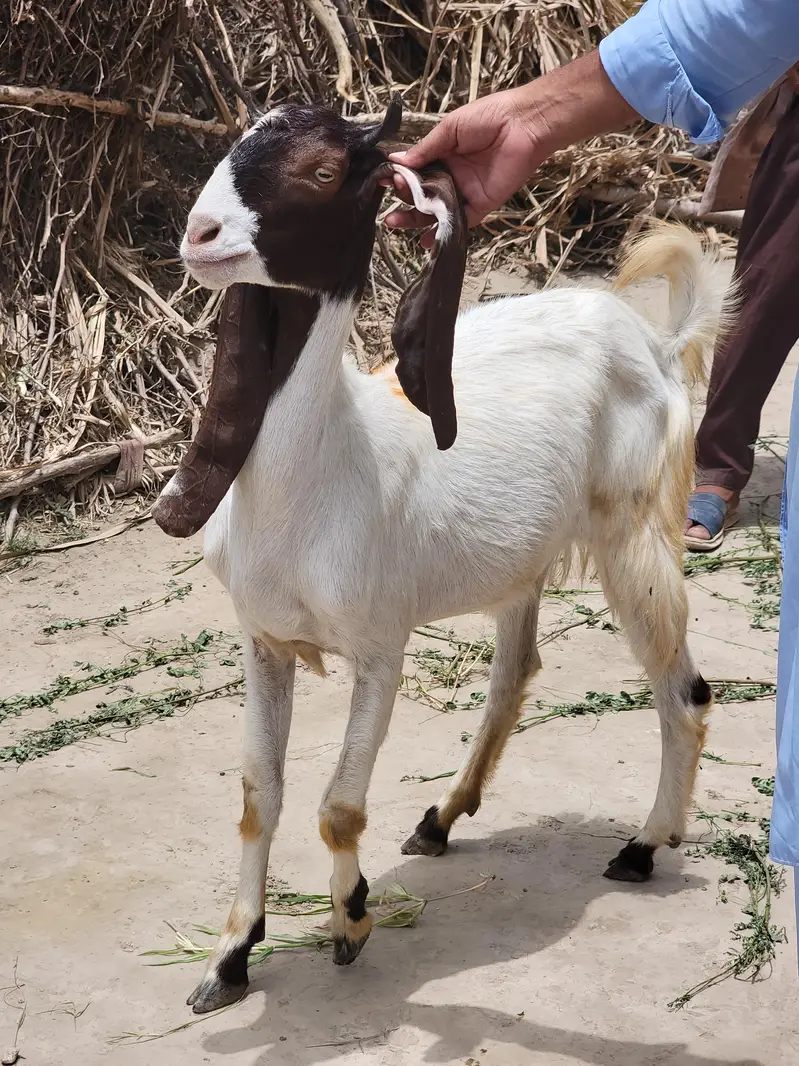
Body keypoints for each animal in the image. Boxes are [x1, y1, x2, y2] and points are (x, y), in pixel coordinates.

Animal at [153, 94, 732, 1015]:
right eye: (234, 145)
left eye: (324, 170)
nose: (201, 235)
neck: (322, 472)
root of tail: (652, 338)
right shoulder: (263, 642)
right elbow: (257, 794)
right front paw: (229, 959)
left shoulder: (379, 651)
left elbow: (337, 806)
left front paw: (351, 921)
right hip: (522, 564)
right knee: (514, 673)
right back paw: (441, 818)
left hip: (634, 537)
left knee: (684, 690)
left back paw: (643, 847)